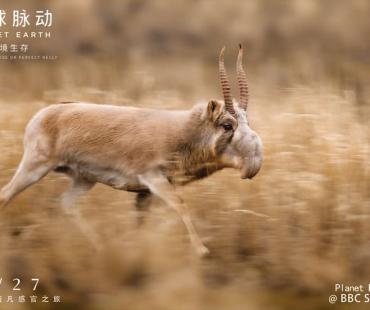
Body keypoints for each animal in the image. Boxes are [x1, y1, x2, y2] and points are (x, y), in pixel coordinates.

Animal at [0, 45, 262, 254]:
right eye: (227, 125)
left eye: (247, 121)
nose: (254, 163)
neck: (182, 131)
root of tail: (41, 115)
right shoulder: (154, 179)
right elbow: (181, 205)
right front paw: (202, 250)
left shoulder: (144, 193)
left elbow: (140, 223)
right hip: (35, 167)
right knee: (6, 194)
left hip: (84, 179)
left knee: (67, 204)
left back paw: (98, 245)